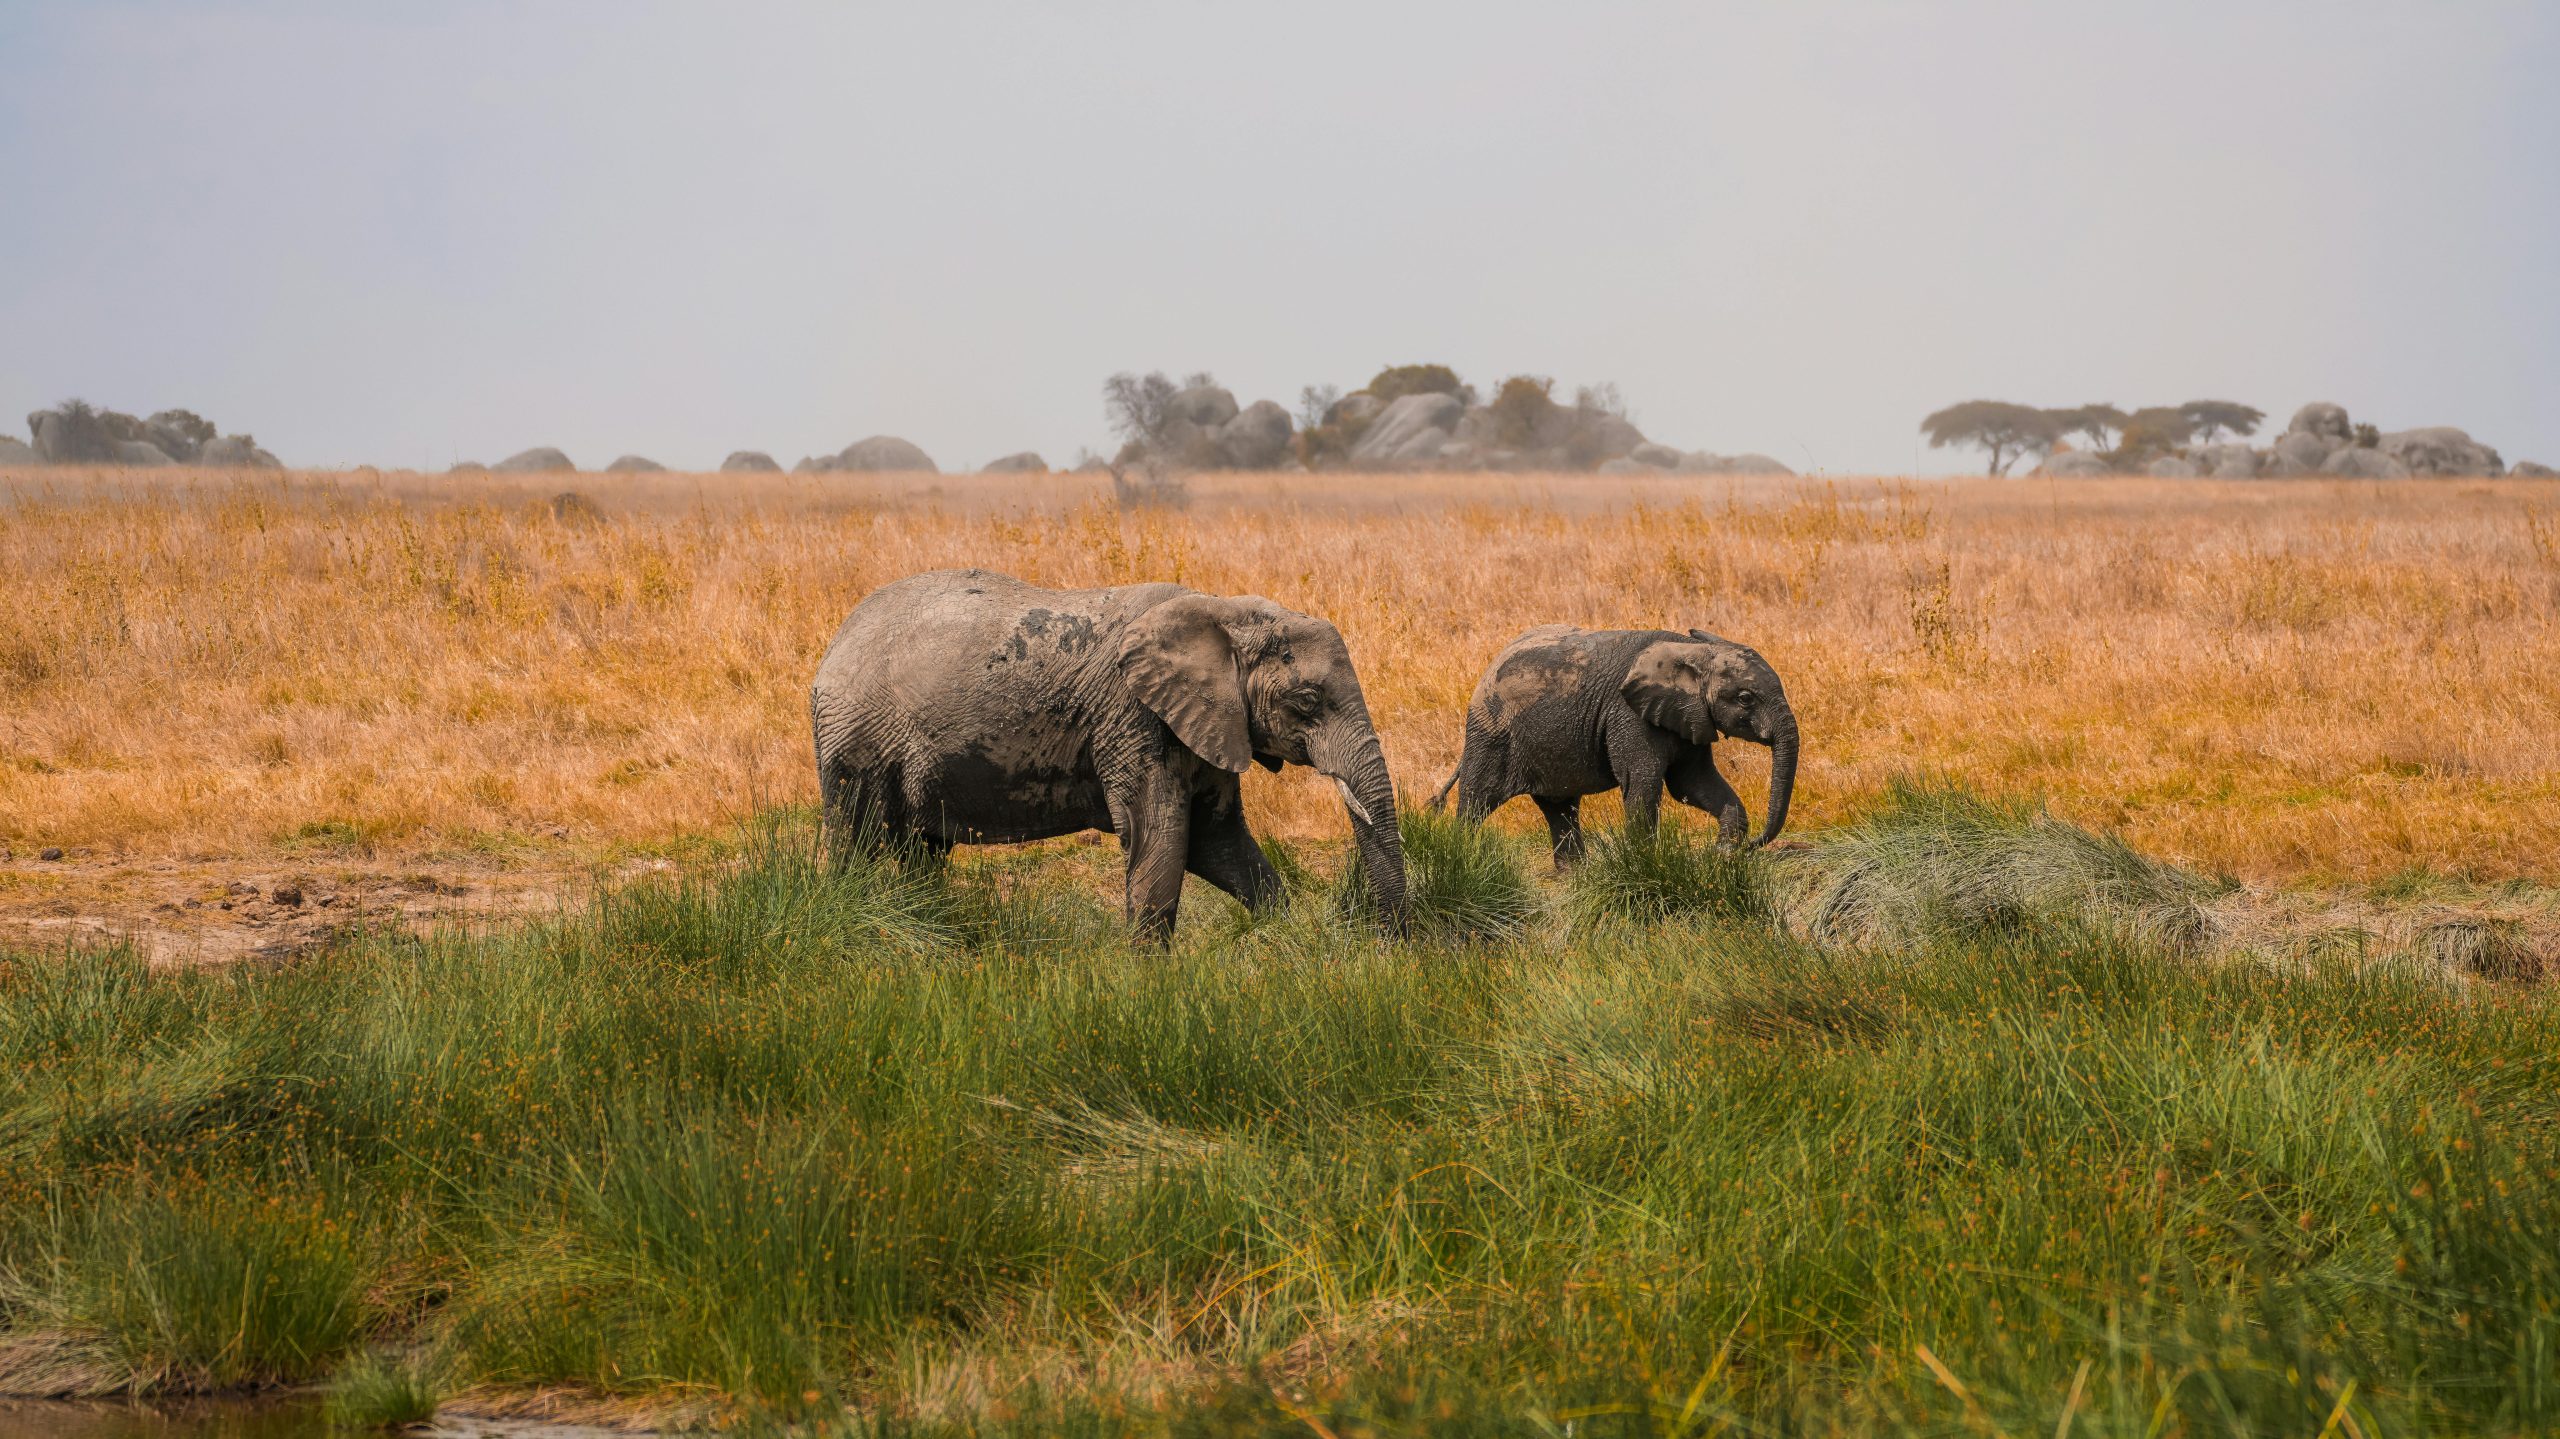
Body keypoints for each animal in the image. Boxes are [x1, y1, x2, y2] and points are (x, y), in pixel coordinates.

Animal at [810, 569, 1408, 940]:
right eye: (1307, 701)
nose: (1391, 948)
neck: (1222, 611)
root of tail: (834, 644)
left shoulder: (1208, 723)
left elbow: (1219, 842)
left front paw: (1285, 936)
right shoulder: (1134, 717)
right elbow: (1162, 839)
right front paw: (1149, 981)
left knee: (922, 850)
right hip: (856, 739)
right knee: (860, 843)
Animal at [1429, 625, 1797, 865]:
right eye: (1746, 698)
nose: (1753, 846)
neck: (1689, 650)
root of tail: (1488, 669)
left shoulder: (1689, 716)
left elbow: (1694, 784)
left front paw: (1722, 856)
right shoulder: (1630, 715)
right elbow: (1643, 784)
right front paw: (1647, 865)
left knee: (1560, 809)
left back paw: (1575, 879)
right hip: (1489, 732)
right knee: (1478, 801)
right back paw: (1462, 860)